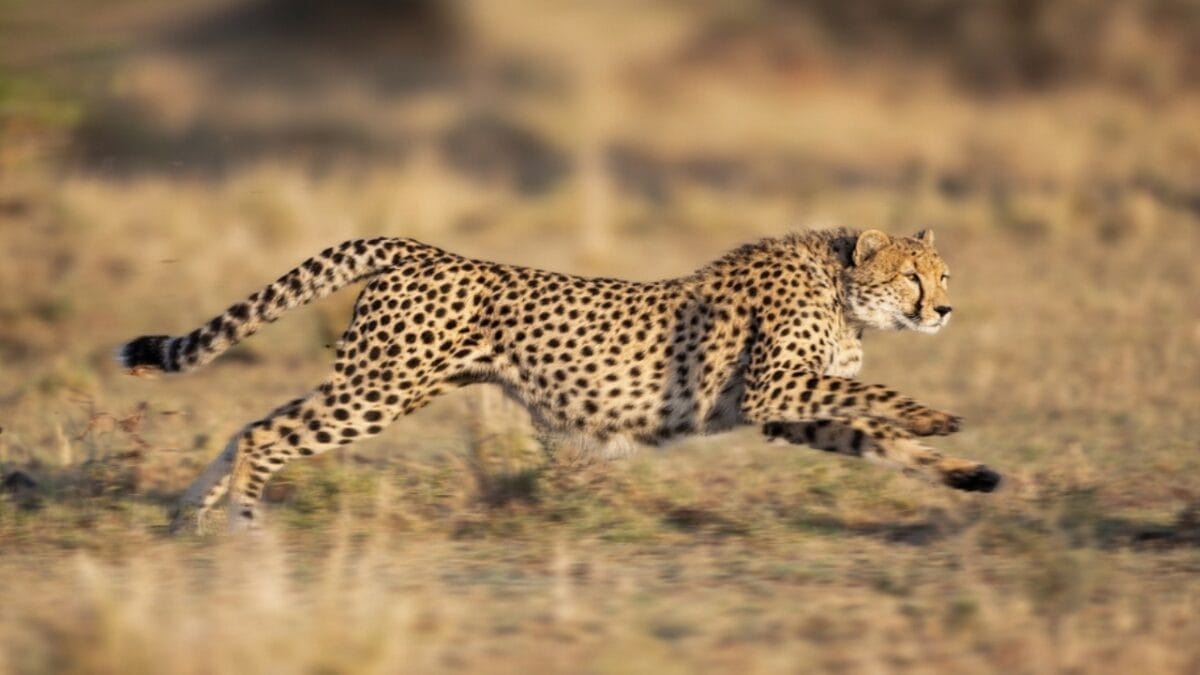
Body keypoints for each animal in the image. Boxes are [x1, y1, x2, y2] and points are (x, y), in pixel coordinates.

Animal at [118, 227, 1000, 532]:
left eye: (944, 273)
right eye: (914, 276)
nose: (946, 308)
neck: (841, 283)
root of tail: (420, 247)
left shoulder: (789, 410)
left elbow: (878, 437)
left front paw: (967, 473)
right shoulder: (774, 389)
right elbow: (877, 400)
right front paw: (934, 418)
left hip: (369, 380)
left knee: (247, 423)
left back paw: (191, 510)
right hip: (377, 391)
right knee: (266, 431)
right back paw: (243, 522)